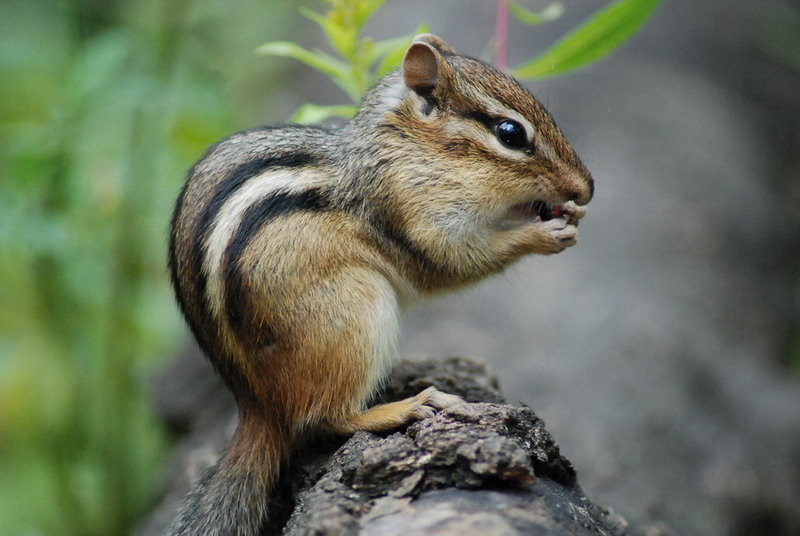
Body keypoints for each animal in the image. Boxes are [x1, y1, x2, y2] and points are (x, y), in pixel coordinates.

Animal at [166, 34, 593, 535]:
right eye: (510, 133)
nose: (586, 188)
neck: (409, 150)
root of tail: (257, 405)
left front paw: (568, 213)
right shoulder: (410, 214)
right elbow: (452, 262)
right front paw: (542, 234)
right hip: (353, 314)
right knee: (323, 419)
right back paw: (406, 407)